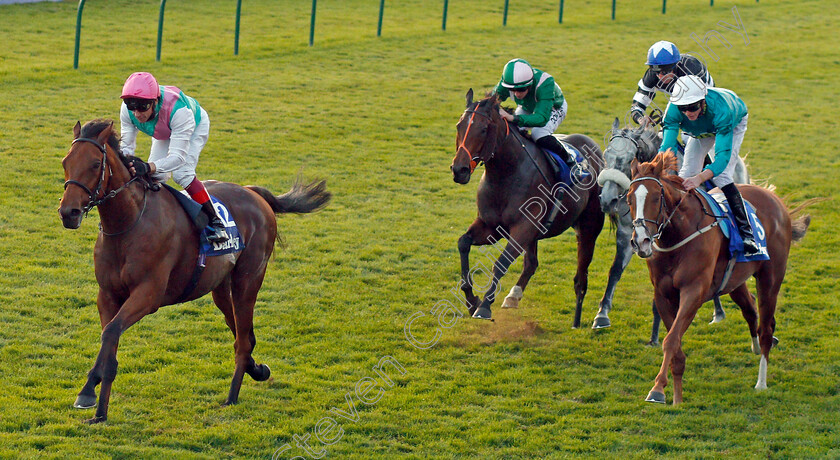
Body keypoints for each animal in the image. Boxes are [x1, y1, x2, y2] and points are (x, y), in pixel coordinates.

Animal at [56, 119, 328, 424]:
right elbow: (109, 341)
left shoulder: (148, 295)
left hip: (248, 280)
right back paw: (256, 369)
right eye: (66, 161)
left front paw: (88, 393)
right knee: (242, 333)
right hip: (220, 287)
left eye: (94, 164)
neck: (129, 224)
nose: (68, 212)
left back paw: (231, 397)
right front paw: (98, 409)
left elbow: (111, 332)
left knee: (243, 339)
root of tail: (253, 193)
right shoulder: (107, 295)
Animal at [452, 90, 604, 328]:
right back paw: (513, 296)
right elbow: (463, 243)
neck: (506, 174)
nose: (459, 170)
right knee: (532, 263)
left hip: (588, 228)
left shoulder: (522, 228)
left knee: (581, 278)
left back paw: (579, 321)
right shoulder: (490, 226)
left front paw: (484, 306)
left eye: (484, 129)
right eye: (459, 126)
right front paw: (471, 300)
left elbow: (501, 263)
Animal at [592, 118, 752, 344]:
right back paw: (718, 310)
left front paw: (655, 333)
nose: (607, 199)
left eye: (629, 158)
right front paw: (602, 315)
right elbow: (615, 271)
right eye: (606, 155)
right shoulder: (627, 235)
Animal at [628, 150, 812, 402]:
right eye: (628, 199)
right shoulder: (663, 295)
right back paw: (756, 346)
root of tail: (774, 198)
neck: (678, 235)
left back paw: (761, 381)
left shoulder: (693, 291)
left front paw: (657, 389)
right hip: (735, 279)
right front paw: (676, 397)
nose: (641, 241)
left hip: (771, 278)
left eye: (656, 198)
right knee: (750, 308)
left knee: (766, 327)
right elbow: (676, 345)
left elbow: (671, 340)